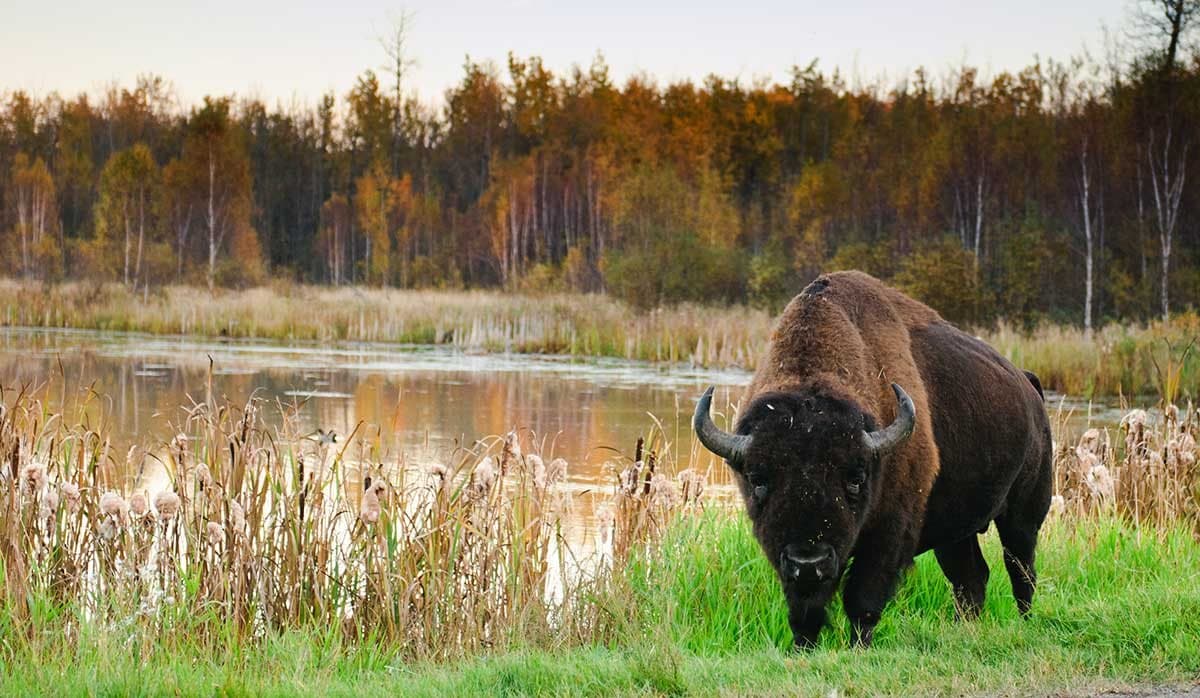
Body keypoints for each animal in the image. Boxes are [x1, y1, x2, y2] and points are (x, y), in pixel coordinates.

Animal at [693, 271, 1052, 648]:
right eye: (758, 479)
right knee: (971, 577)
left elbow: (863, 599)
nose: (809, 561)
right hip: (956, 531)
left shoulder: (887, 534)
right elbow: (804, 610)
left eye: (855, 478)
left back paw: (1024, 622)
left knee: (1021, 569)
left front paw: (858, 645)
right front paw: (803, 646)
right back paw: (965, 627)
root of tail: (1028, 384)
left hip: (1024, 515)